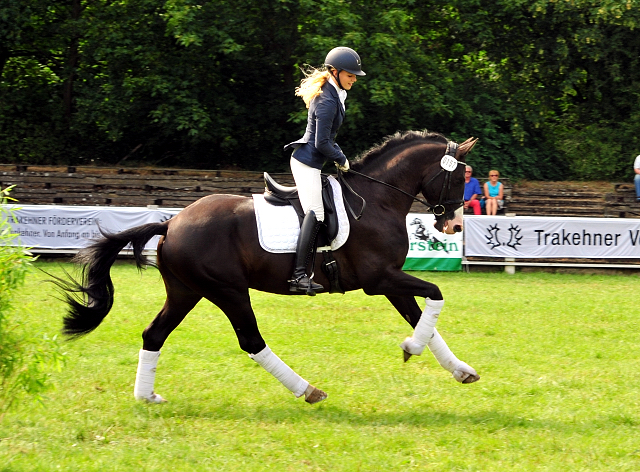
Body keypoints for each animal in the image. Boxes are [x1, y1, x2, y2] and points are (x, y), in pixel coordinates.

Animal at [53, 131, 480, 404]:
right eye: (460, 176)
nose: (454, 227)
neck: (377, 198)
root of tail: (172, 222)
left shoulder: (389, 281)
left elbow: (422, 315)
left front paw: (459, 369)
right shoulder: (380, 279)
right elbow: (436, 296)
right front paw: (412, 347)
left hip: (186, 291)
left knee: (154, 333)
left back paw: (146, 397)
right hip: (228, 291)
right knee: (251, 341)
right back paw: (308, 390)